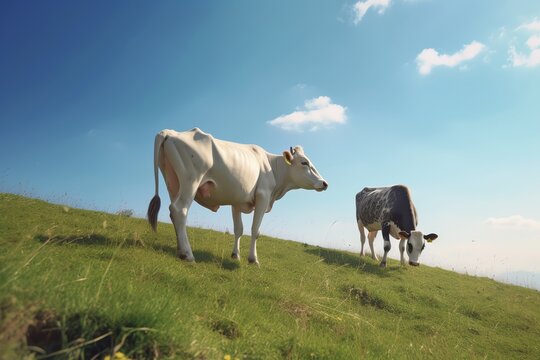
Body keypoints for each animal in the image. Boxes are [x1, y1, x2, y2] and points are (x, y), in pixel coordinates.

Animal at [146, 128, 330, 262]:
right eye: (304, 162)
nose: (324, 183)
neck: (272, 167)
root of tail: (170, 132)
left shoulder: (236, 201)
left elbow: (238, 229)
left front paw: (236, 255)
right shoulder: (263, 196)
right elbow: (255, 229)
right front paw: (253, 259)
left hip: (173, 184)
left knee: (173, 212)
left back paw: (180, 250)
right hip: (191, 182)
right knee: (180, 210)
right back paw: (188, 254)